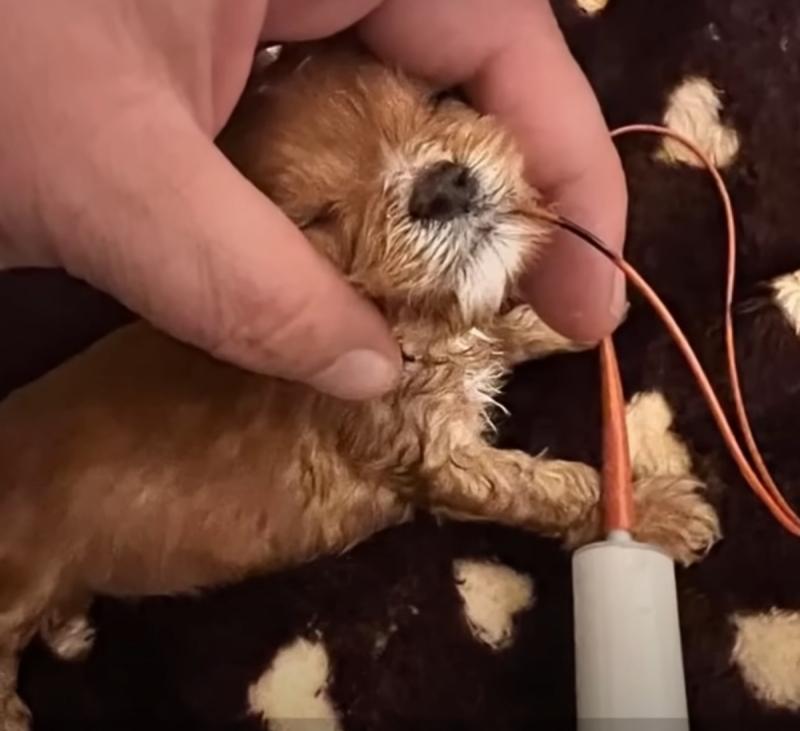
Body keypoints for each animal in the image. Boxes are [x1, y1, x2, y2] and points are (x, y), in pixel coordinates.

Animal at [0, 41, 716, 731]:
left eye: (441, 98)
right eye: (320, 218)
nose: (440, 186)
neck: (411, 332)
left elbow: (499, 334)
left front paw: (563, 316)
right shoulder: (428, 457)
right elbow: (538, 487)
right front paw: (654, 511)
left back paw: (69, 629)